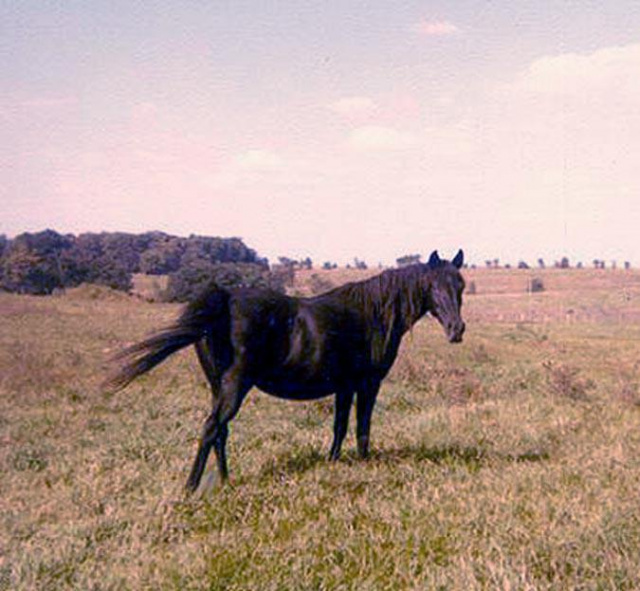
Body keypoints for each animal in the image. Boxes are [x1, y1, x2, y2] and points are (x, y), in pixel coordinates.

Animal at [104, 249, 464, 490]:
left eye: (460, 286)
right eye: (435, 287)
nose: (457, 330)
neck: (372, 313)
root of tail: (225, 300)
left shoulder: (344, 386)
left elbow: (339, 426)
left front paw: (333, 462)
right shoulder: (367, 383)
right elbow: (362, 426)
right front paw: (364, 463)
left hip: (218, 386)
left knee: (220, 431)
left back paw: (225, 480)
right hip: (234, 386)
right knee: (211, 428)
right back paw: (191, 488)